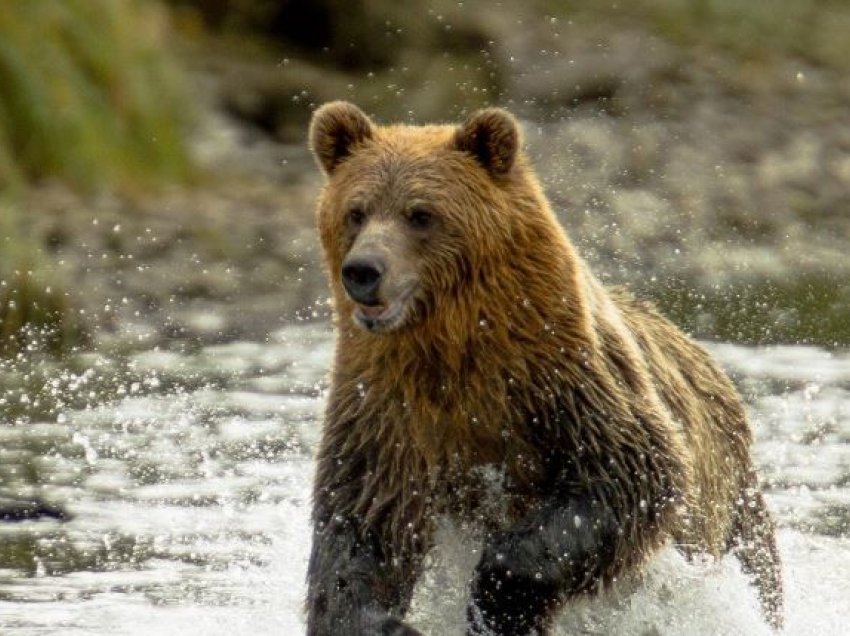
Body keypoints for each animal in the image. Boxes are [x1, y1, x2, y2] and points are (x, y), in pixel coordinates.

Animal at [306, 102, 780, 632]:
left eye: (421, 213)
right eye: (356, 211)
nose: (363, 271)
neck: (452, 348)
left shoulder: (563, 377)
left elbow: (626, 476)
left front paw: (497, 601)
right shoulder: (385, 410)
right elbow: (363, 523)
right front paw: (382, 621)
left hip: (735, 511)